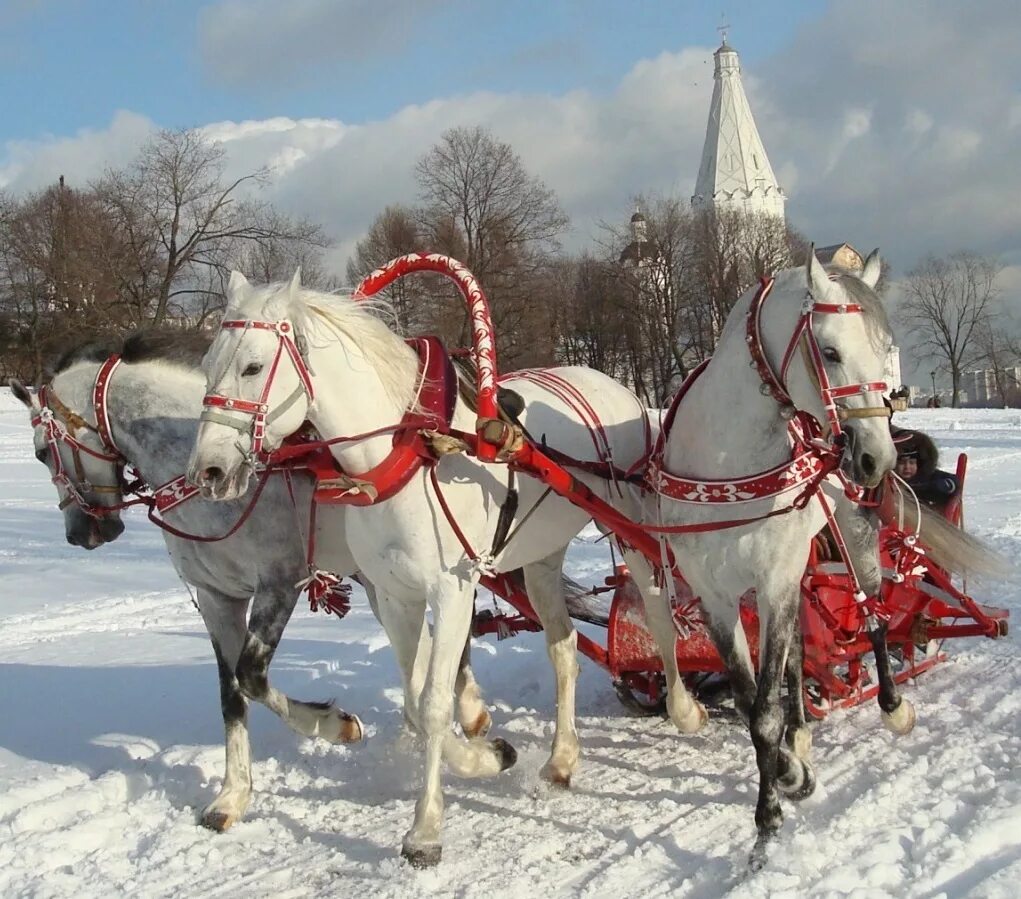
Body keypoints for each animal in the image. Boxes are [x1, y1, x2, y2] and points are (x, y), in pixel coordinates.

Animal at [188, 267, 653, 861]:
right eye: (206, 367)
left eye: (251, 366)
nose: (208, 471)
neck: (406, 451)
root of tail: (613, 382)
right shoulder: (394, 595)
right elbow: (414, 700)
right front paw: (486, 754)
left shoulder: (452, 589)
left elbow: (432, 702)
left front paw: (426, 828)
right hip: (541, 559)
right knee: (564, 648)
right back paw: (562, 757)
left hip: (632, 526)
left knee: (660, 607)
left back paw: (684, 706)